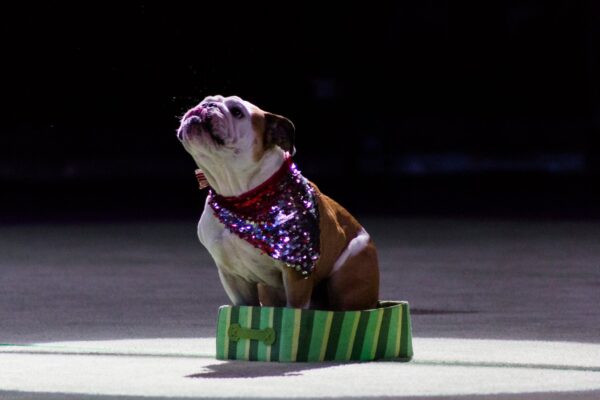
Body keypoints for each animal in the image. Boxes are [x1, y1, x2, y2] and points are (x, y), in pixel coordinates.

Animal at [176, 95, 378, 310]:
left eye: (237, 112)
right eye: (206, 100)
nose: (207, 105)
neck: (239, 196)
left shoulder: (296, 273)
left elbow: (294, 308)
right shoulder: (234, 277)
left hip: (349, 274)